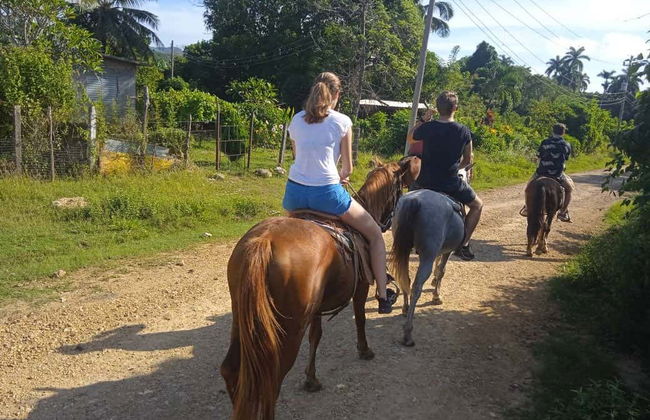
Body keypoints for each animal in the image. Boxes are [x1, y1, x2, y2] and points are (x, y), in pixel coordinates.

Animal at [220, 157, 418, 420]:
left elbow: (316, 336)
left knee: (231, 371)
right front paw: (364, 350)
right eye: (399, 191)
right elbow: (360, 319)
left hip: (242, 319)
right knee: (271, 382)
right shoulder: (361, 288)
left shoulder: (314, 309)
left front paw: (311, 379)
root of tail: (264, 242)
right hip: (289, 329)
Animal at [390, 157, 466, 347]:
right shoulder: (447, 251)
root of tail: (415, 201)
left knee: (405, 278)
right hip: (426, 256)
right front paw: (436, 296)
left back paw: (405, 308)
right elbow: (441, 270)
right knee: (416, 286)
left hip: (404, 250)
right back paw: (408, 333)